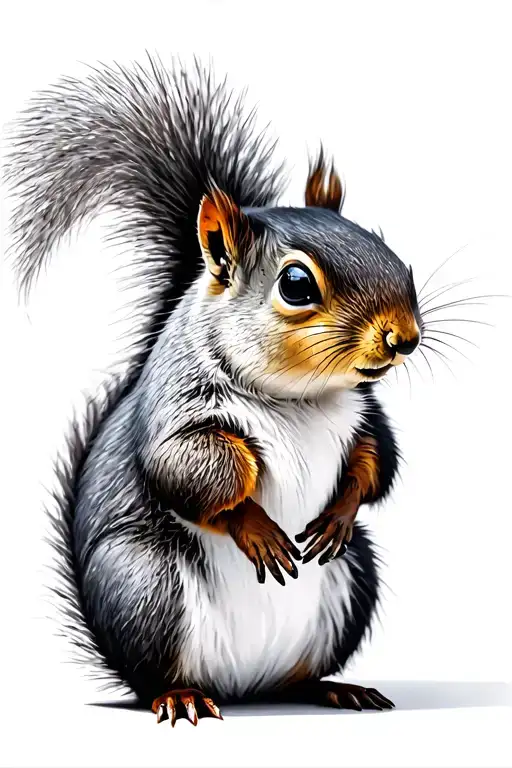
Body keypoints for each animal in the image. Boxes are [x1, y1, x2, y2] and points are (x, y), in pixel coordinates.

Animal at [5, 56, 423, 726]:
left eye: (385, 245)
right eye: (297, 284)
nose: (404, 337)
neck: (299, 397)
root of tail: (243, 686)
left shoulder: (364, 413)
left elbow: (376, 461)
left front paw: (338, 513)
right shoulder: (176, 408)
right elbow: (185, 467)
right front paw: (255, 525)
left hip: (355, 576)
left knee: (300, 672)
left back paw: (335, 688)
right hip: (145, 585)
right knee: (157, 673)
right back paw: (179, 696)